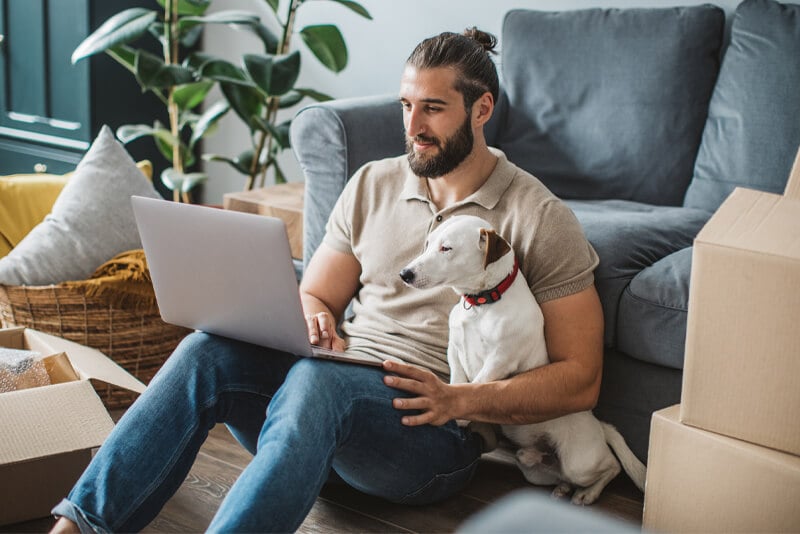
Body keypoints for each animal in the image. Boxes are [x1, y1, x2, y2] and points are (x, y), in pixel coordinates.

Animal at [398, 217, 644, 506]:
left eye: (446, 248)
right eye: (427, 244)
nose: (404, 274)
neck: (482, 303)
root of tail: (600, 426)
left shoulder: (501, 360)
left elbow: (474, 384)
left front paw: (456, 413)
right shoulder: (455, 350)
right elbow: (459, 380)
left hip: (580, 462)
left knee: (611, 467)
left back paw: (588, 493)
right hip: (534, 471)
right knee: (558, 473)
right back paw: (562, 486)